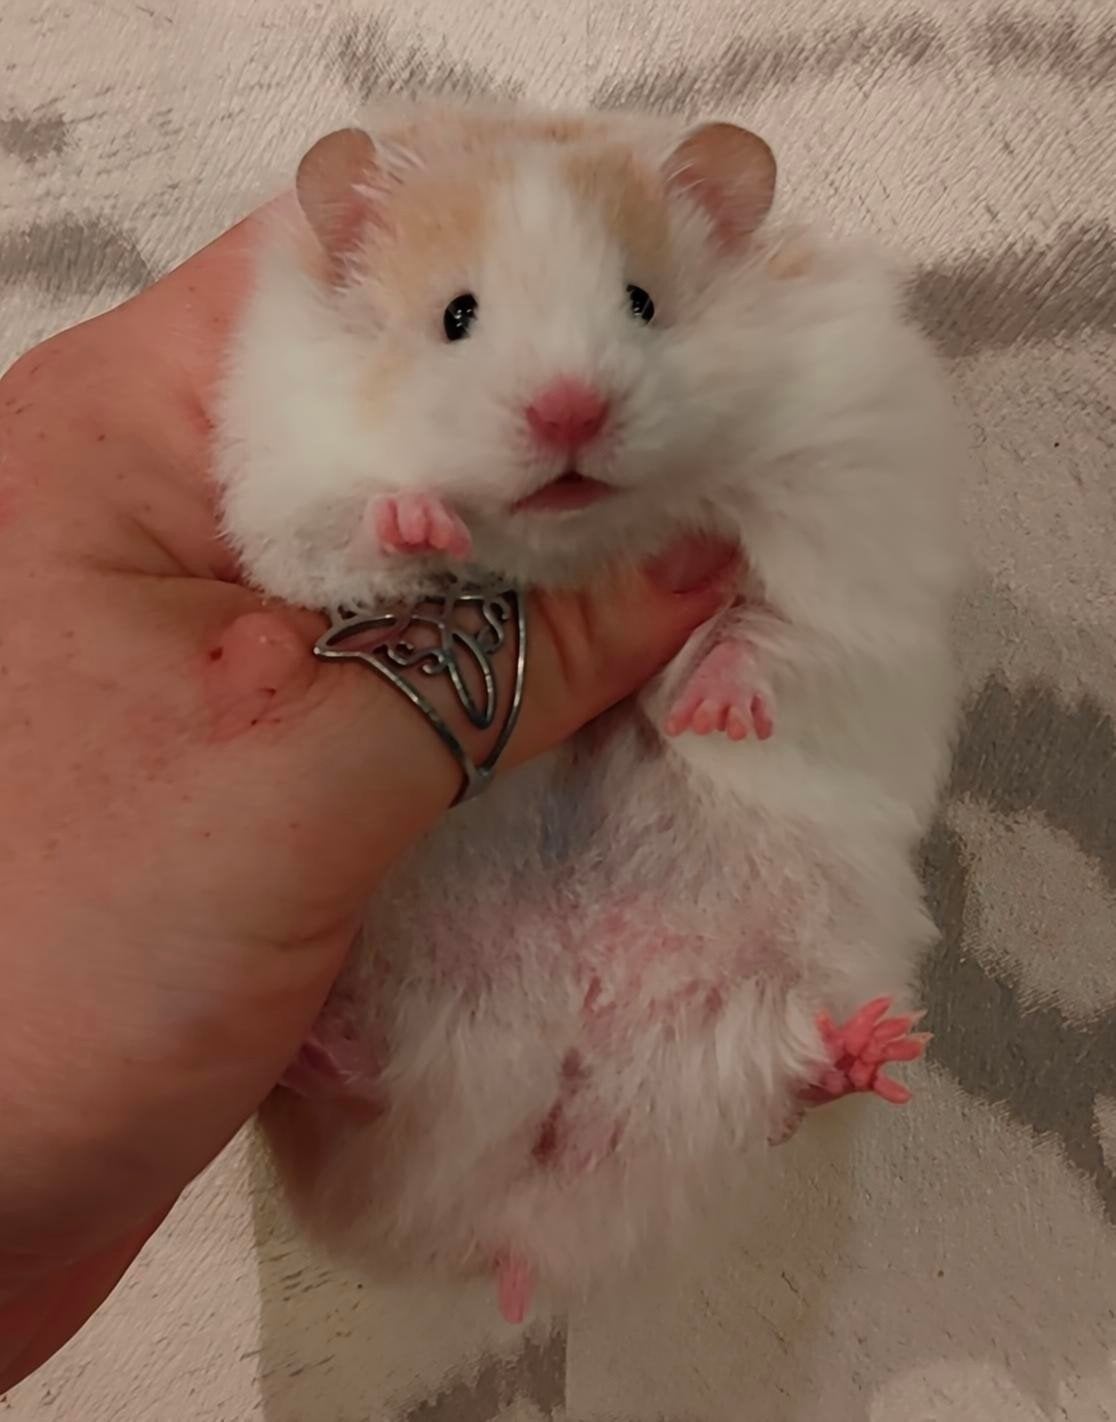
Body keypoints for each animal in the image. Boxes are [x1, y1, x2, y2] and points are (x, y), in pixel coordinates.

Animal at [214, 99, 963, 1323]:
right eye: (456, 316)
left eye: (643, 301)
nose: (571, 408)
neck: (580, 543)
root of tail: (527, 1217)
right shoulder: (287, 476)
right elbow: (354, 537)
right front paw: (421, 522)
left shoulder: (844, 495)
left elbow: (776, 619)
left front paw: (717, 714)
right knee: (368, 1089)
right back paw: (316, 1051)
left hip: (812, 958)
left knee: (785, 1079)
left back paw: (867, 1049)